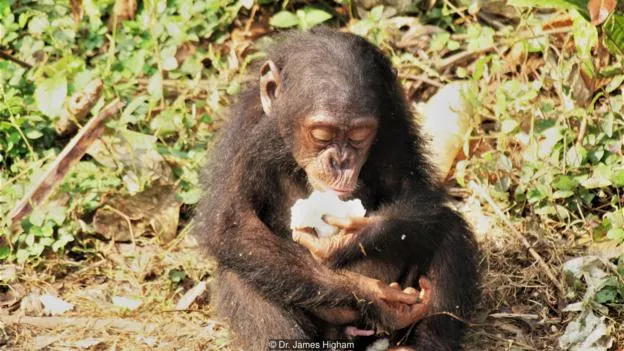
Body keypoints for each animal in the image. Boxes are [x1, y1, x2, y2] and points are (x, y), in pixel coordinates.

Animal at [194, 28, 478, 351]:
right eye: (321, 134)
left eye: (359, 134)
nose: (340, 162)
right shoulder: (244, 131)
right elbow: (234, 224)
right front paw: (372, 295)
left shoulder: (395, 123)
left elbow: (414, 192)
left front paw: (355, 237)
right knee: (241, 276)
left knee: (448, 229)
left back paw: (422, 343)